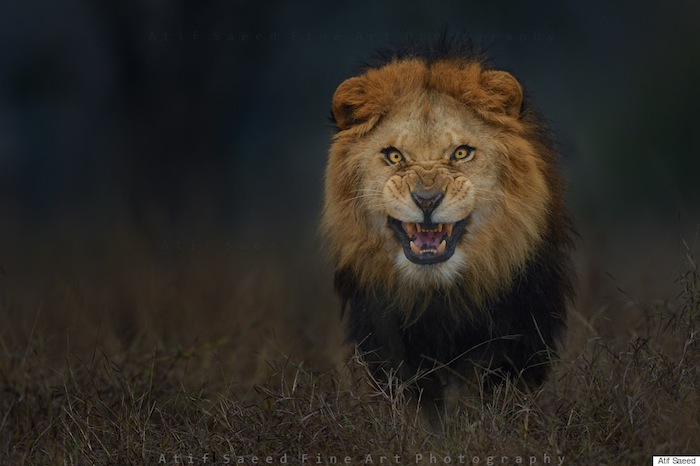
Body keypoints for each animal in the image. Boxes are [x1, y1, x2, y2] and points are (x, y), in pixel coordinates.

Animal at [322, 39, 576, 426]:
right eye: (394, 156)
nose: (426, 200)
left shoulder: (518, 334)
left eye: (460, 153)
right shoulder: (385, 338)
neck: (439, 293)